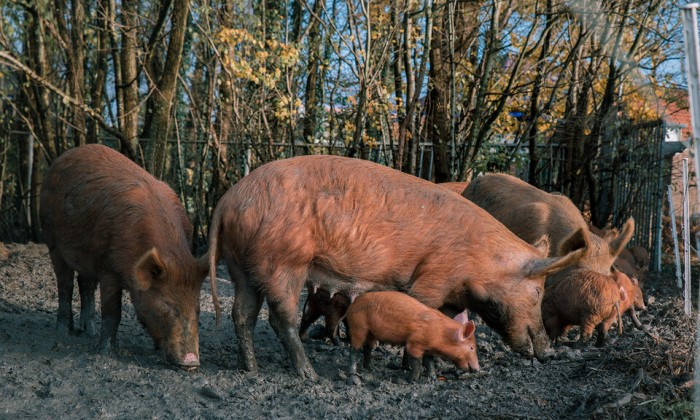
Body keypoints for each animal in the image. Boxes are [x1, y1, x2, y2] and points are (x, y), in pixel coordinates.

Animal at [40, 144, 209, 370]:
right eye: (167, 304)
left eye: (197, 308)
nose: (192, 362)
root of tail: (61, 158)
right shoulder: (108, 267)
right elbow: (113, 311)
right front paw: (105, 352)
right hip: (52, 240)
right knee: (65, 284)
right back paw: (64, 332)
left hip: (87, 256)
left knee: (85, 284)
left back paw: (89, 331)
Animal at [346, 291, 479, 381]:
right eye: (471, 347)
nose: (478, 369)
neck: (440, 333)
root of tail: (352, 305)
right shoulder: (414, 343)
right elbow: (417, 362)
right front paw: (411, 380)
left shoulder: (429, 349)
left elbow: (429, 362)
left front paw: (433, 379)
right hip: (358, 326)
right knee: (354, 349)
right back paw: (353, 374)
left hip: (372, 333)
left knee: (368, 347)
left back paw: (370, 369)